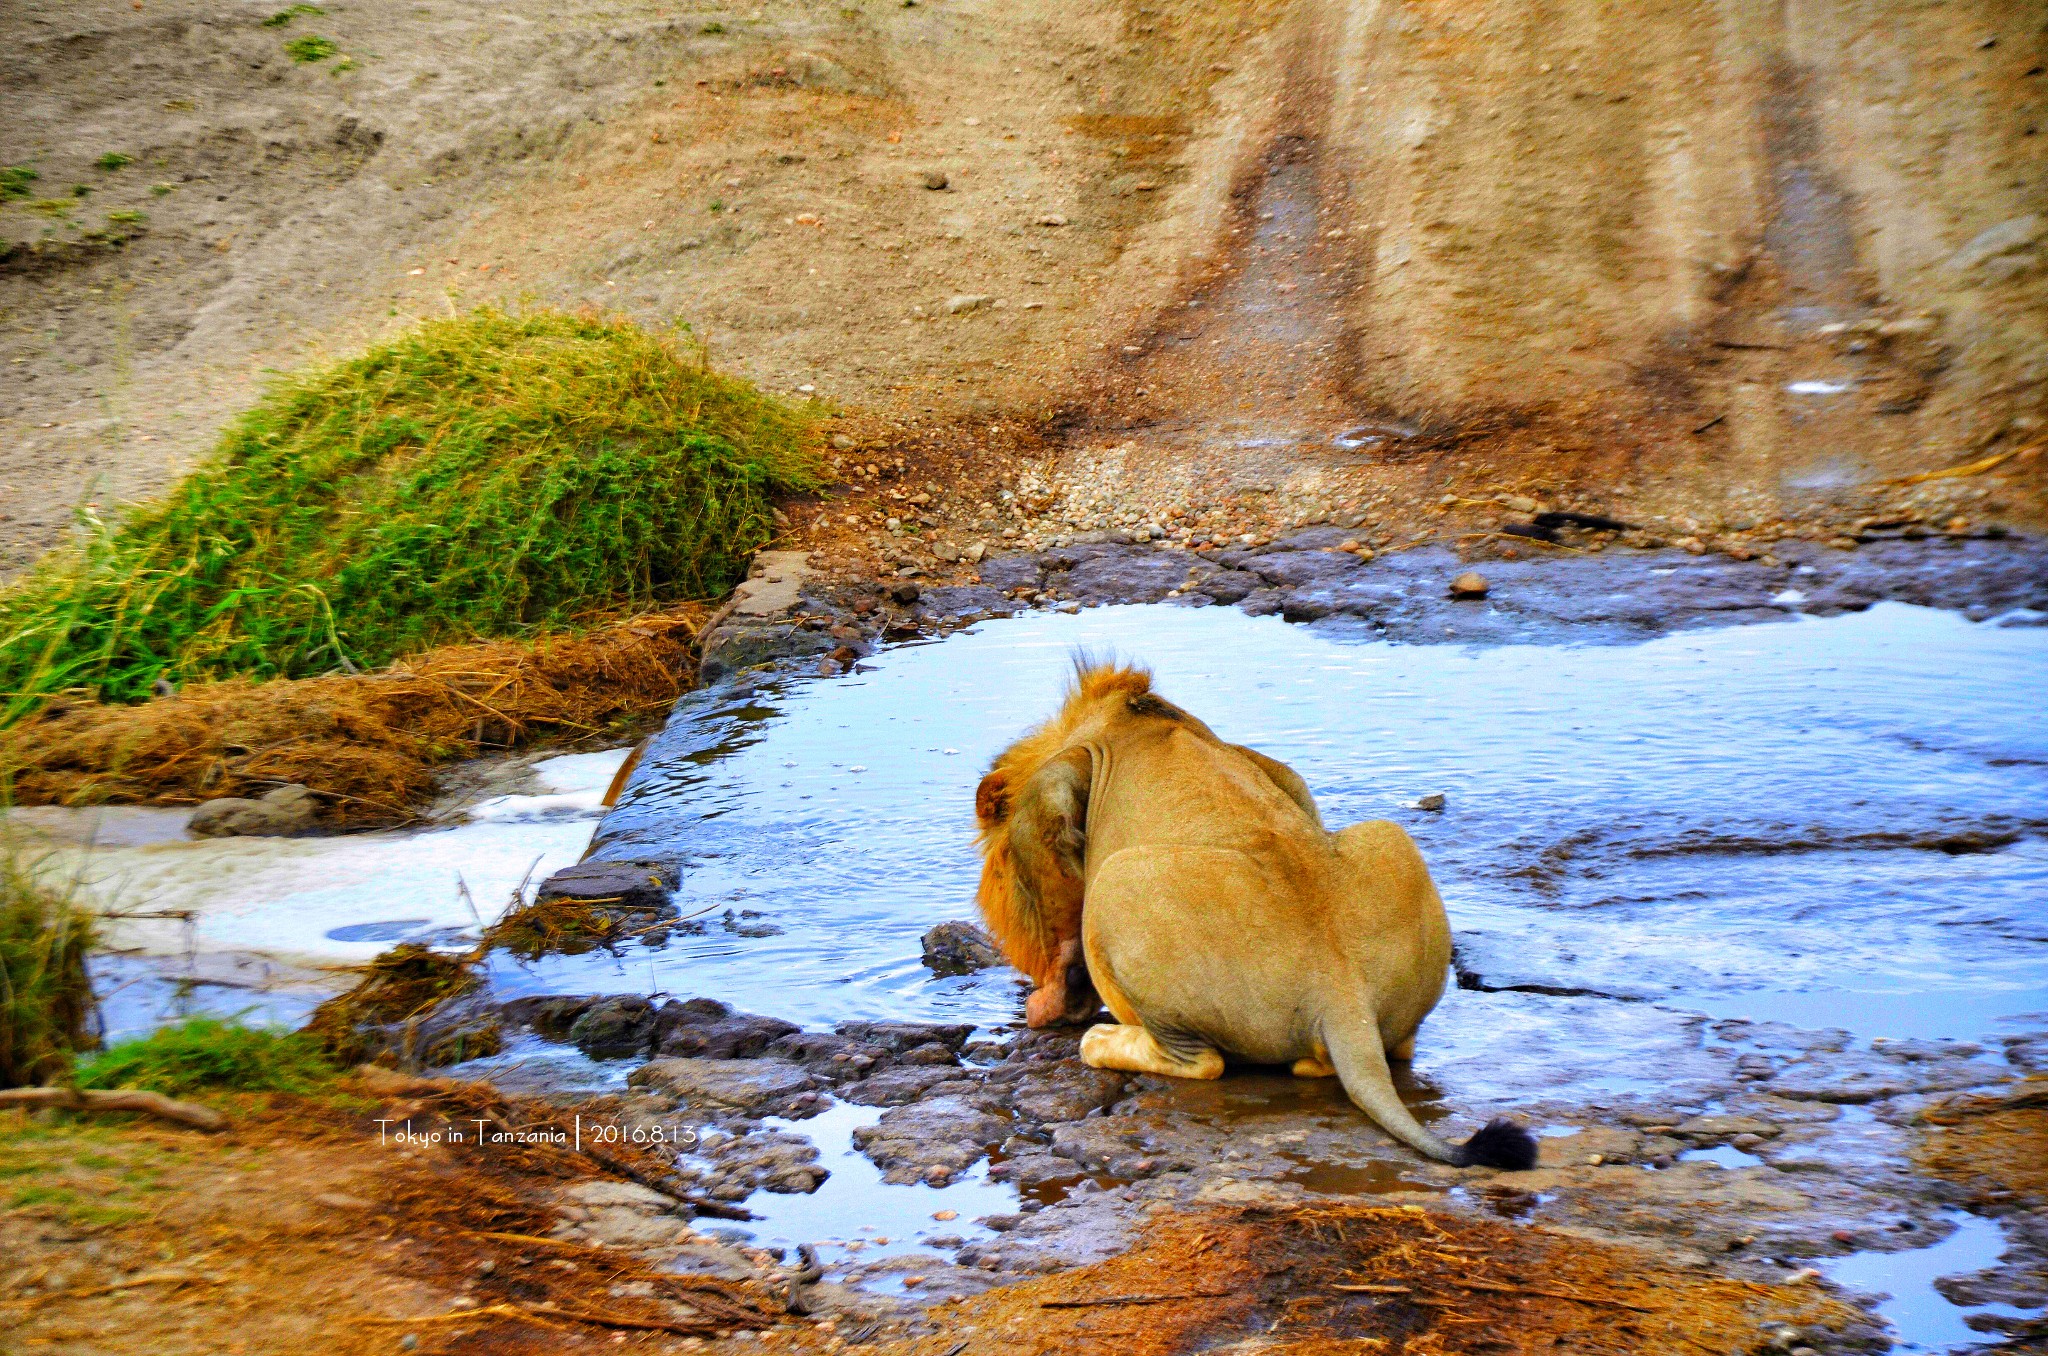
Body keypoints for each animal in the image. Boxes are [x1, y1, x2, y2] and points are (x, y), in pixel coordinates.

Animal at [974, 663, 1540, 1171]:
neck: (1118, 718)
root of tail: (1341, 991)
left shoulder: (1051, 800)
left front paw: (1049, 1005)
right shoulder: (1272, 768)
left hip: (1116, 881)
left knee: (1203, 1062)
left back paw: (1100, 1040)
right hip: (1390, 837)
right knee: (1390, 1048)